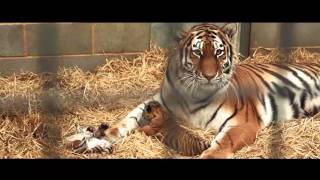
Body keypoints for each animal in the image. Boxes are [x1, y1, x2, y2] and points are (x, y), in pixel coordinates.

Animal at [81, 22, 320, 159]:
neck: (195, 96)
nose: (209, 75)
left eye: (219, 53)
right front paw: (106, 134)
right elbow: (128, 118)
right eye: (197, 53)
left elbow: (223, 143)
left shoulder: (243, 122)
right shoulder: (157, 102)